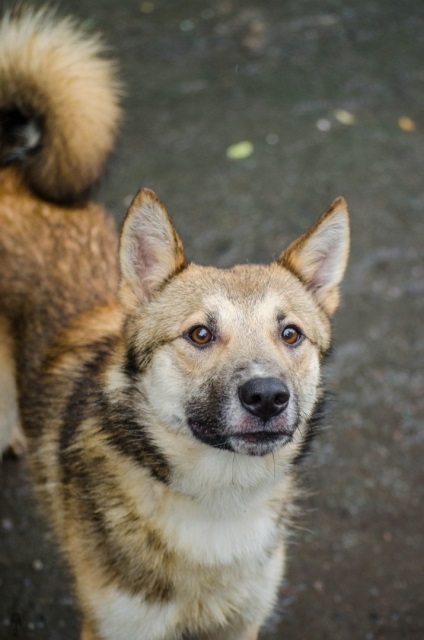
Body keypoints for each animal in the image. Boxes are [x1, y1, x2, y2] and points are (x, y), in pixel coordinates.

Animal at [0, 6, 352, 640]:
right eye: (200, 334)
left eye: (290, 334)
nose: (268, 396)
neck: (216, 509)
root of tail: (11, 171)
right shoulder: (114, 625)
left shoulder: (243, 623)